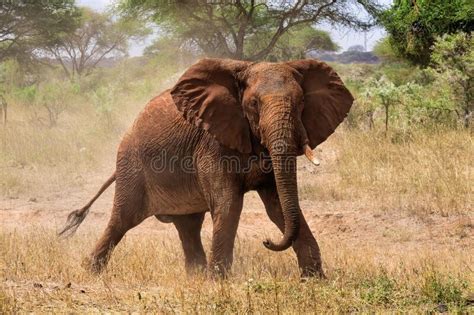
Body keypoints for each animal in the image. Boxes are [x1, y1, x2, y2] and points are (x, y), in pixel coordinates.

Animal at [60, 58, 352, 278]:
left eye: (301, 103)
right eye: (254, 104)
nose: (267, 241)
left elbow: (279, 206)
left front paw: (314, 279)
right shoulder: (212, 142)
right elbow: (229, 203)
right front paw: (219, 281)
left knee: (188, 224)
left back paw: (196, 275)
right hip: (131, 163)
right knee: (122, 219)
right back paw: (89, 271)